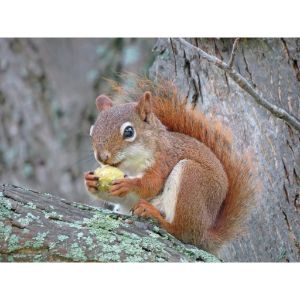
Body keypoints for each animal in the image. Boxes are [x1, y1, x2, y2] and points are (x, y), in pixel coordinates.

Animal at [84, 80, 255, 253]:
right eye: (92, 132)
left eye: (129, 131)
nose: (102, 156)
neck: (131, 167)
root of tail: (204, 233)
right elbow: (124, 197)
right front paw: (90, 182)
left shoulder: (163, 161)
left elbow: (150, 184)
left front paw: (128, 184)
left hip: (191, 180)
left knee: (181, 231)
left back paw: (154, 215)